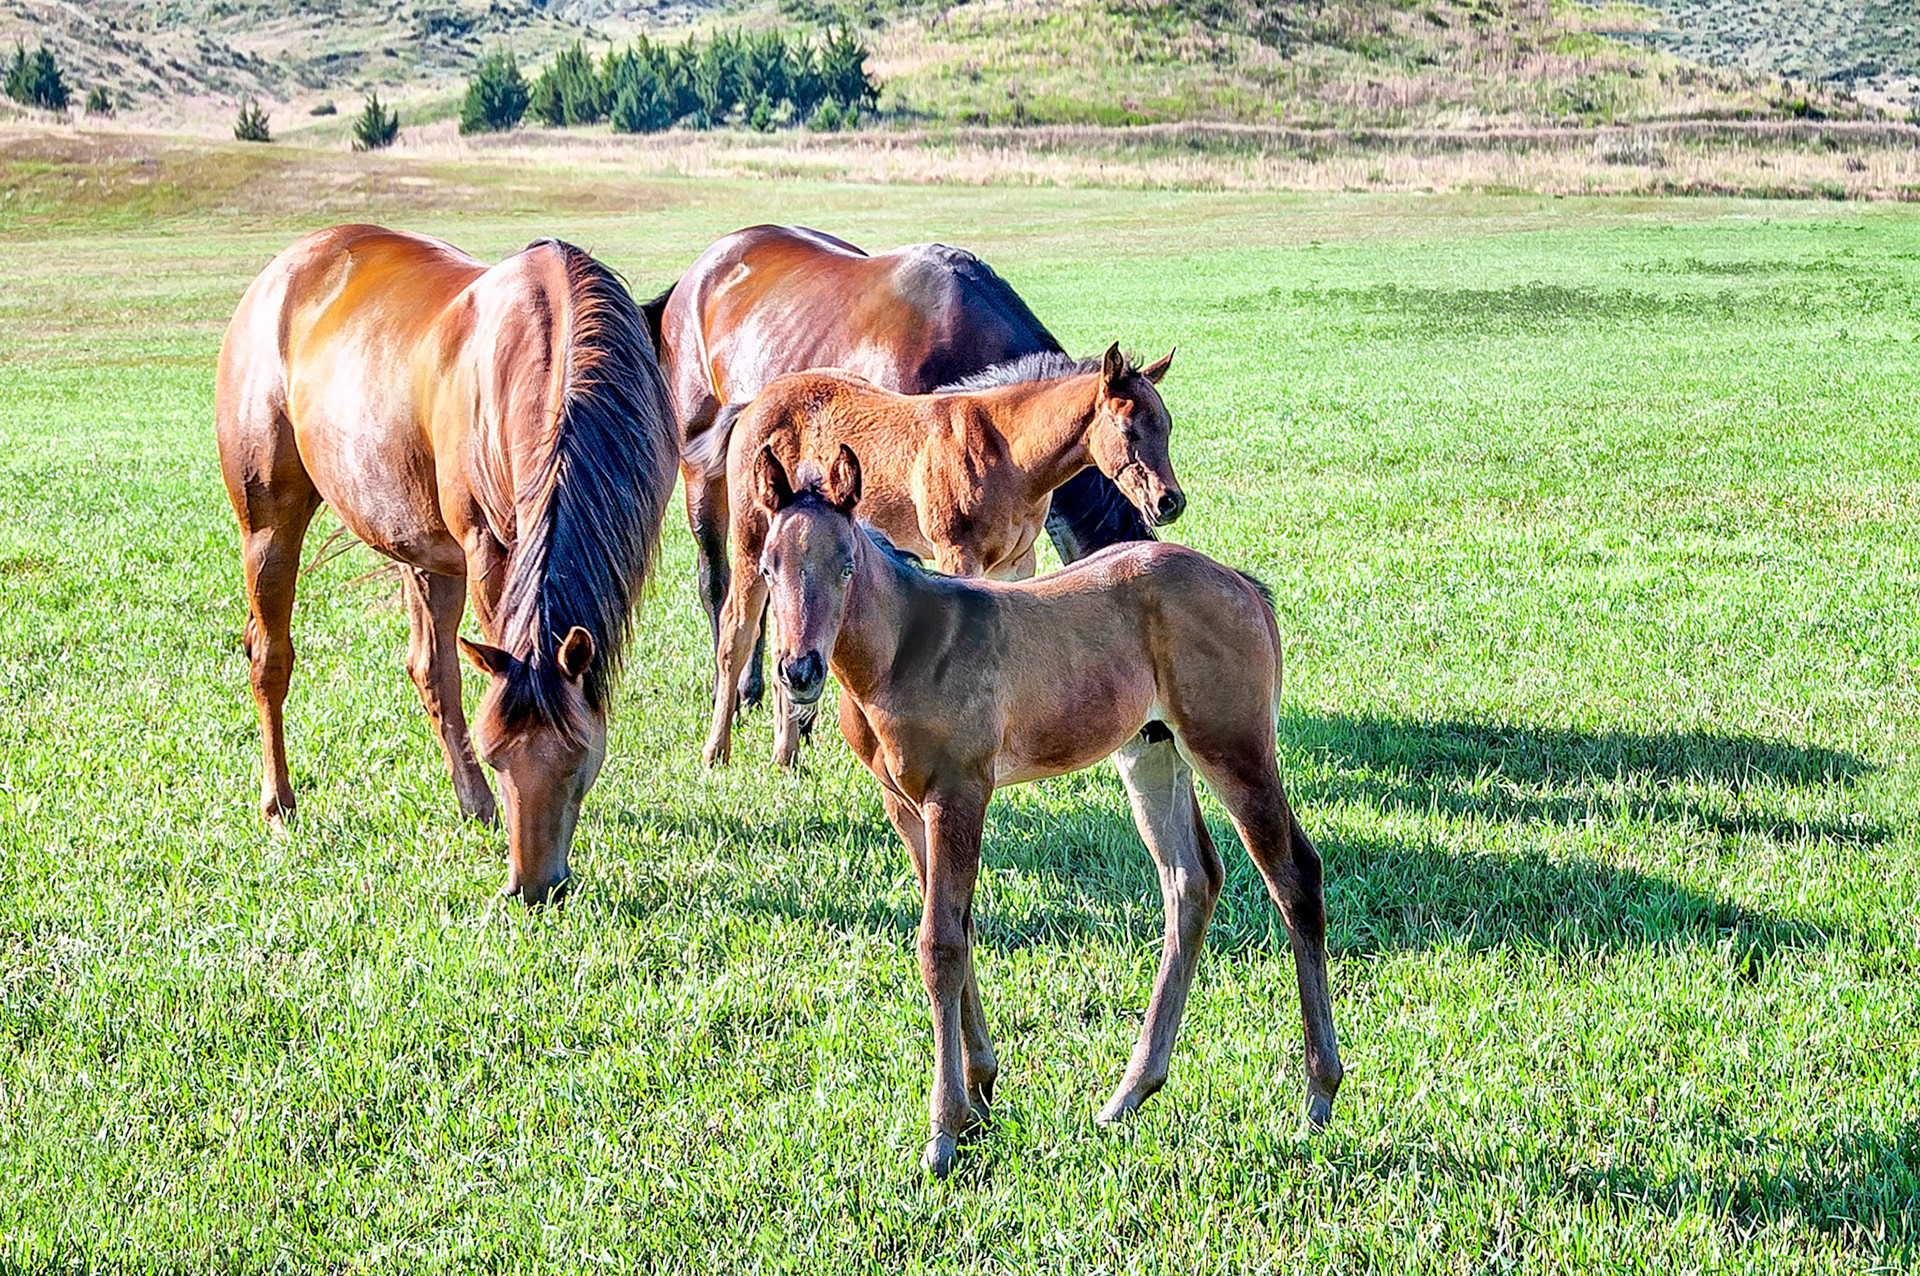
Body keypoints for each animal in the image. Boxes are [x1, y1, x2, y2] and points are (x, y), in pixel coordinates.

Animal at [215, 225, 677, 906]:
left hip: (423, 544)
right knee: (271, 657)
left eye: (579, 756)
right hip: (269, 525)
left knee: (431, 670)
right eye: (497, 752)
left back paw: (472, 806)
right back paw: (280, 806)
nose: (533, 888)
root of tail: (282, 271)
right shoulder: (488, 547)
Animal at [696, 344, 1182, 770]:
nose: (1170, 503)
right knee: (735, 634)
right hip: (754, 543)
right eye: (1127, 430)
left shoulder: (1015, 564)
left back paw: (787, 754)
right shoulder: (956, 553)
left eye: (1168, 426)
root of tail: (754, 402)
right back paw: (717, 752)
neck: (1005, 452)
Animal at [746, 445, 1342, 1178]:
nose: (798, 670)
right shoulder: (905, 805)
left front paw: (943, 1131)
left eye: (846, 564)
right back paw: (1129, 1094)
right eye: (769, 567)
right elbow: (959, 926)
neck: (905, 648)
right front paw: (980, 1094)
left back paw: (1318, 1096)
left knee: (1295, 878)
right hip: (1152, 754)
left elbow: (940, 943)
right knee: (1191, 882)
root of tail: (1244, 585)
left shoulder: (959, 794)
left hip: (1234, 750)